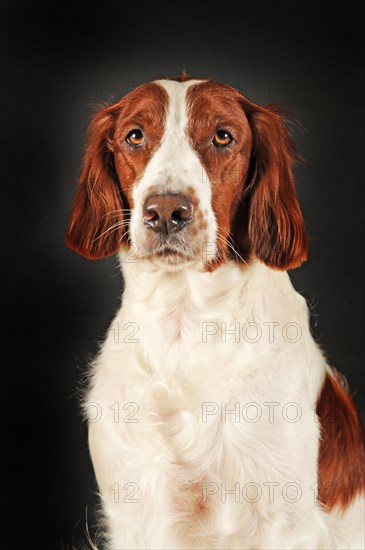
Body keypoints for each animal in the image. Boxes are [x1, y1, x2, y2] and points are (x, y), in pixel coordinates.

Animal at [66, 75, 364, 548]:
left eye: (223, 136)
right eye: (135, 136)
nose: (166, 211)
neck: (187, 321)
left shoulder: (287, 520)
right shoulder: (135, 511)